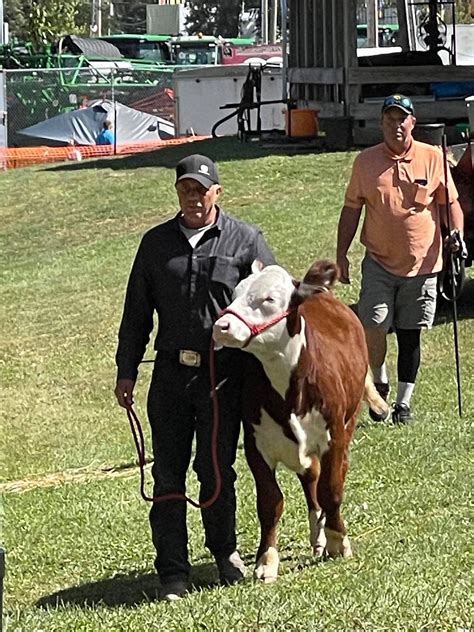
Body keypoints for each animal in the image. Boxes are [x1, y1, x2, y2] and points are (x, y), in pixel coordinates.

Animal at [213, 260, 386, 584]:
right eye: (236, 293)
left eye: (269, 299)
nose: (222, 326)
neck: (288, 390)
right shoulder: (257, 446)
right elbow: (270, 503)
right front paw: (266, 561)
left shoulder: (334, 437)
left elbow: (332, 490)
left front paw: (337, 540)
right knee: (311, 480)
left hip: (348, 424)